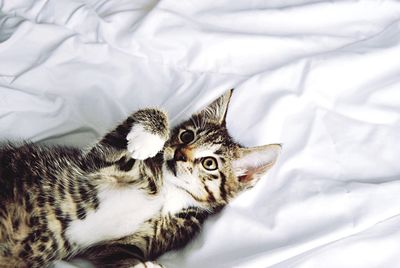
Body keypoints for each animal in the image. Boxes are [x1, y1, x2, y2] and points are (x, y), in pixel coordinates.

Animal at [0, 89, 282, 266]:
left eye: (209, 163)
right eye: (187, 135)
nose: (179, 154)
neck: (168, 192)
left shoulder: (123, 245)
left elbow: (123, 257)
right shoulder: (95, 163)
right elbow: (152, 113)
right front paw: (148, 139)